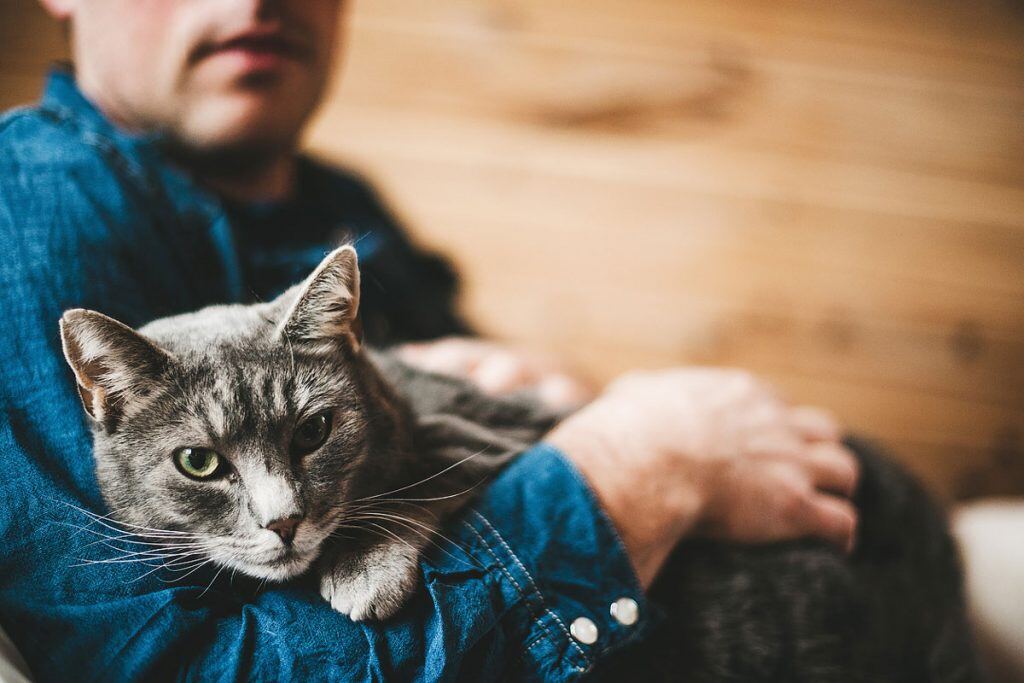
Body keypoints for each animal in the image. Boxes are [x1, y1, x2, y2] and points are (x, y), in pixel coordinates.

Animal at [59, 246, 557, 626]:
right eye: (198, 462)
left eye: (313, 431)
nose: (283, 522)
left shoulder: (490, 431)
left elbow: (414, 487)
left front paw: (364, 571)